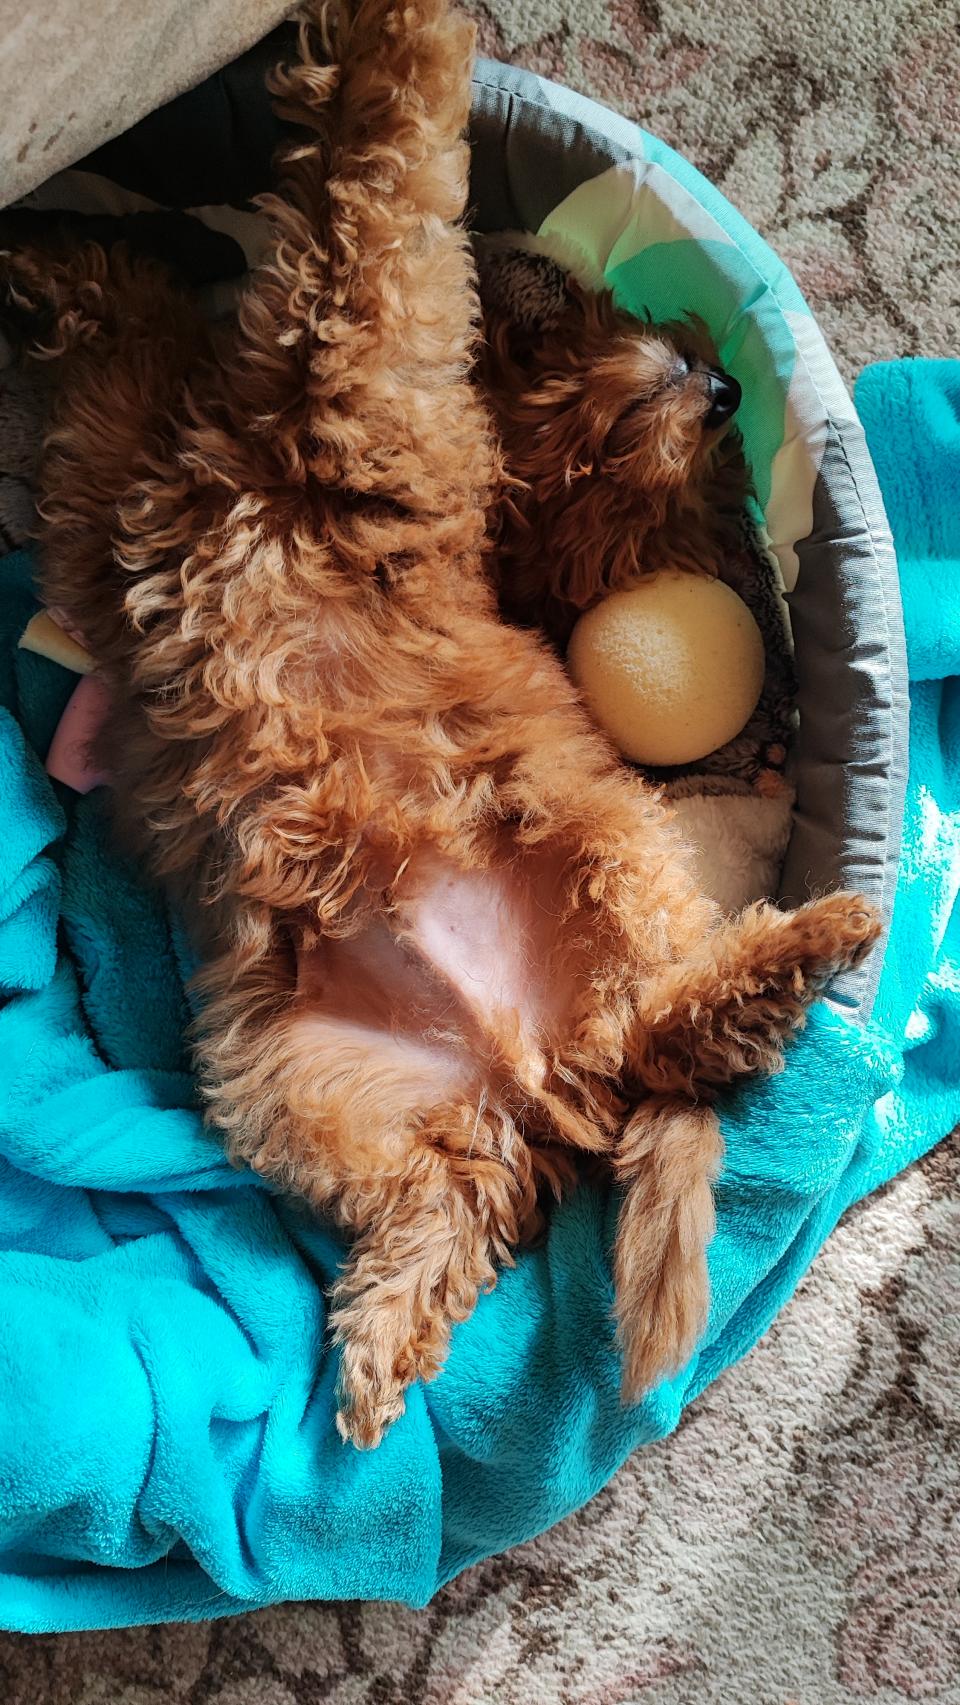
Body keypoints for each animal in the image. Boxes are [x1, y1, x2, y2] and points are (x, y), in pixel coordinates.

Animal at [0, 0, 878, 1448]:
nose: (722, 389)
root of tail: (530, 1070)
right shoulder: (179, 450)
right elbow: (160, 329)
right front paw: (57, 266)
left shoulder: (368, 346)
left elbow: (383, 186)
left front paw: (398, 33)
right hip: (298, 1083)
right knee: (473, 1189)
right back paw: (386, 1337)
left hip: (612, 863)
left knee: (667, 1039)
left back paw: (812, 938)